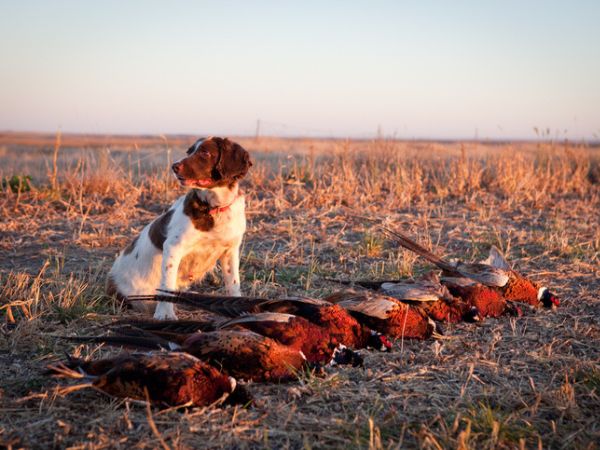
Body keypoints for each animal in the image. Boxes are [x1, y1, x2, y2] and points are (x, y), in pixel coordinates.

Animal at [106, 137, 252, 320]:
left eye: (205, 153)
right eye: (189, 152)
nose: (174, 166)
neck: (213, 207)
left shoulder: (230, 251)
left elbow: (233, 283)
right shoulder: (173, 247)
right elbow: (167, 284)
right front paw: (165, 314)